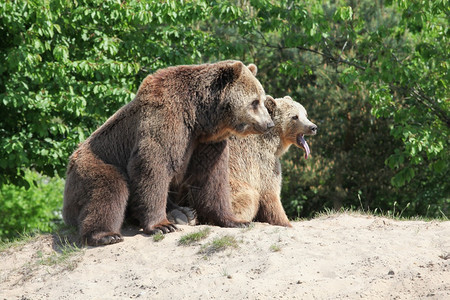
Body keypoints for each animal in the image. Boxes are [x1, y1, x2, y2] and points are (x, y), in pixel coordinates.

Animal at [62, 59, 274, 245]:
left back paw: (183, 213)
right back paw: (106, 235)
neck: (199, 116)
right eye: (255, 102)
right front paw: (161, 225)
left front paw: (235, 220)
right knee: (109, 188)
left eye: (262, 100)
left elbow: (212, 178)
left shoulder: (207, 143)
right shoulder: (166, 117)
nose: (269, 124)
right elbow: (153, 166)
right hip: (93, 162)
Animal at [169, 96, 316, 227]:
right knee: (248, 196)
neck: (274, 141)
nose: (313, 127)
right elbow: (270, 193)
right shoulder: (262, 161)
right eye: (294, 117)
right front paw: (285, 222)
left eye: (305, 113)